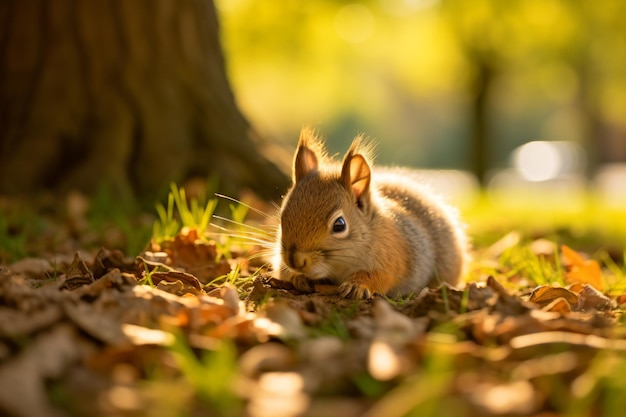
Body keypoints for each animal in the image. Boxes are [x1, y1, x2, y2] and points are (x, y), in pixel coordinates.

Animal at [272, 127, 468, 300]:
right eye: (282, 218)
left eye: (339, 225)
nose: (295, 260)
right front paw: (298, 277)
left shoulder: (394, 258)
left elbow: (380, 277)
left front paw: (357, 285)